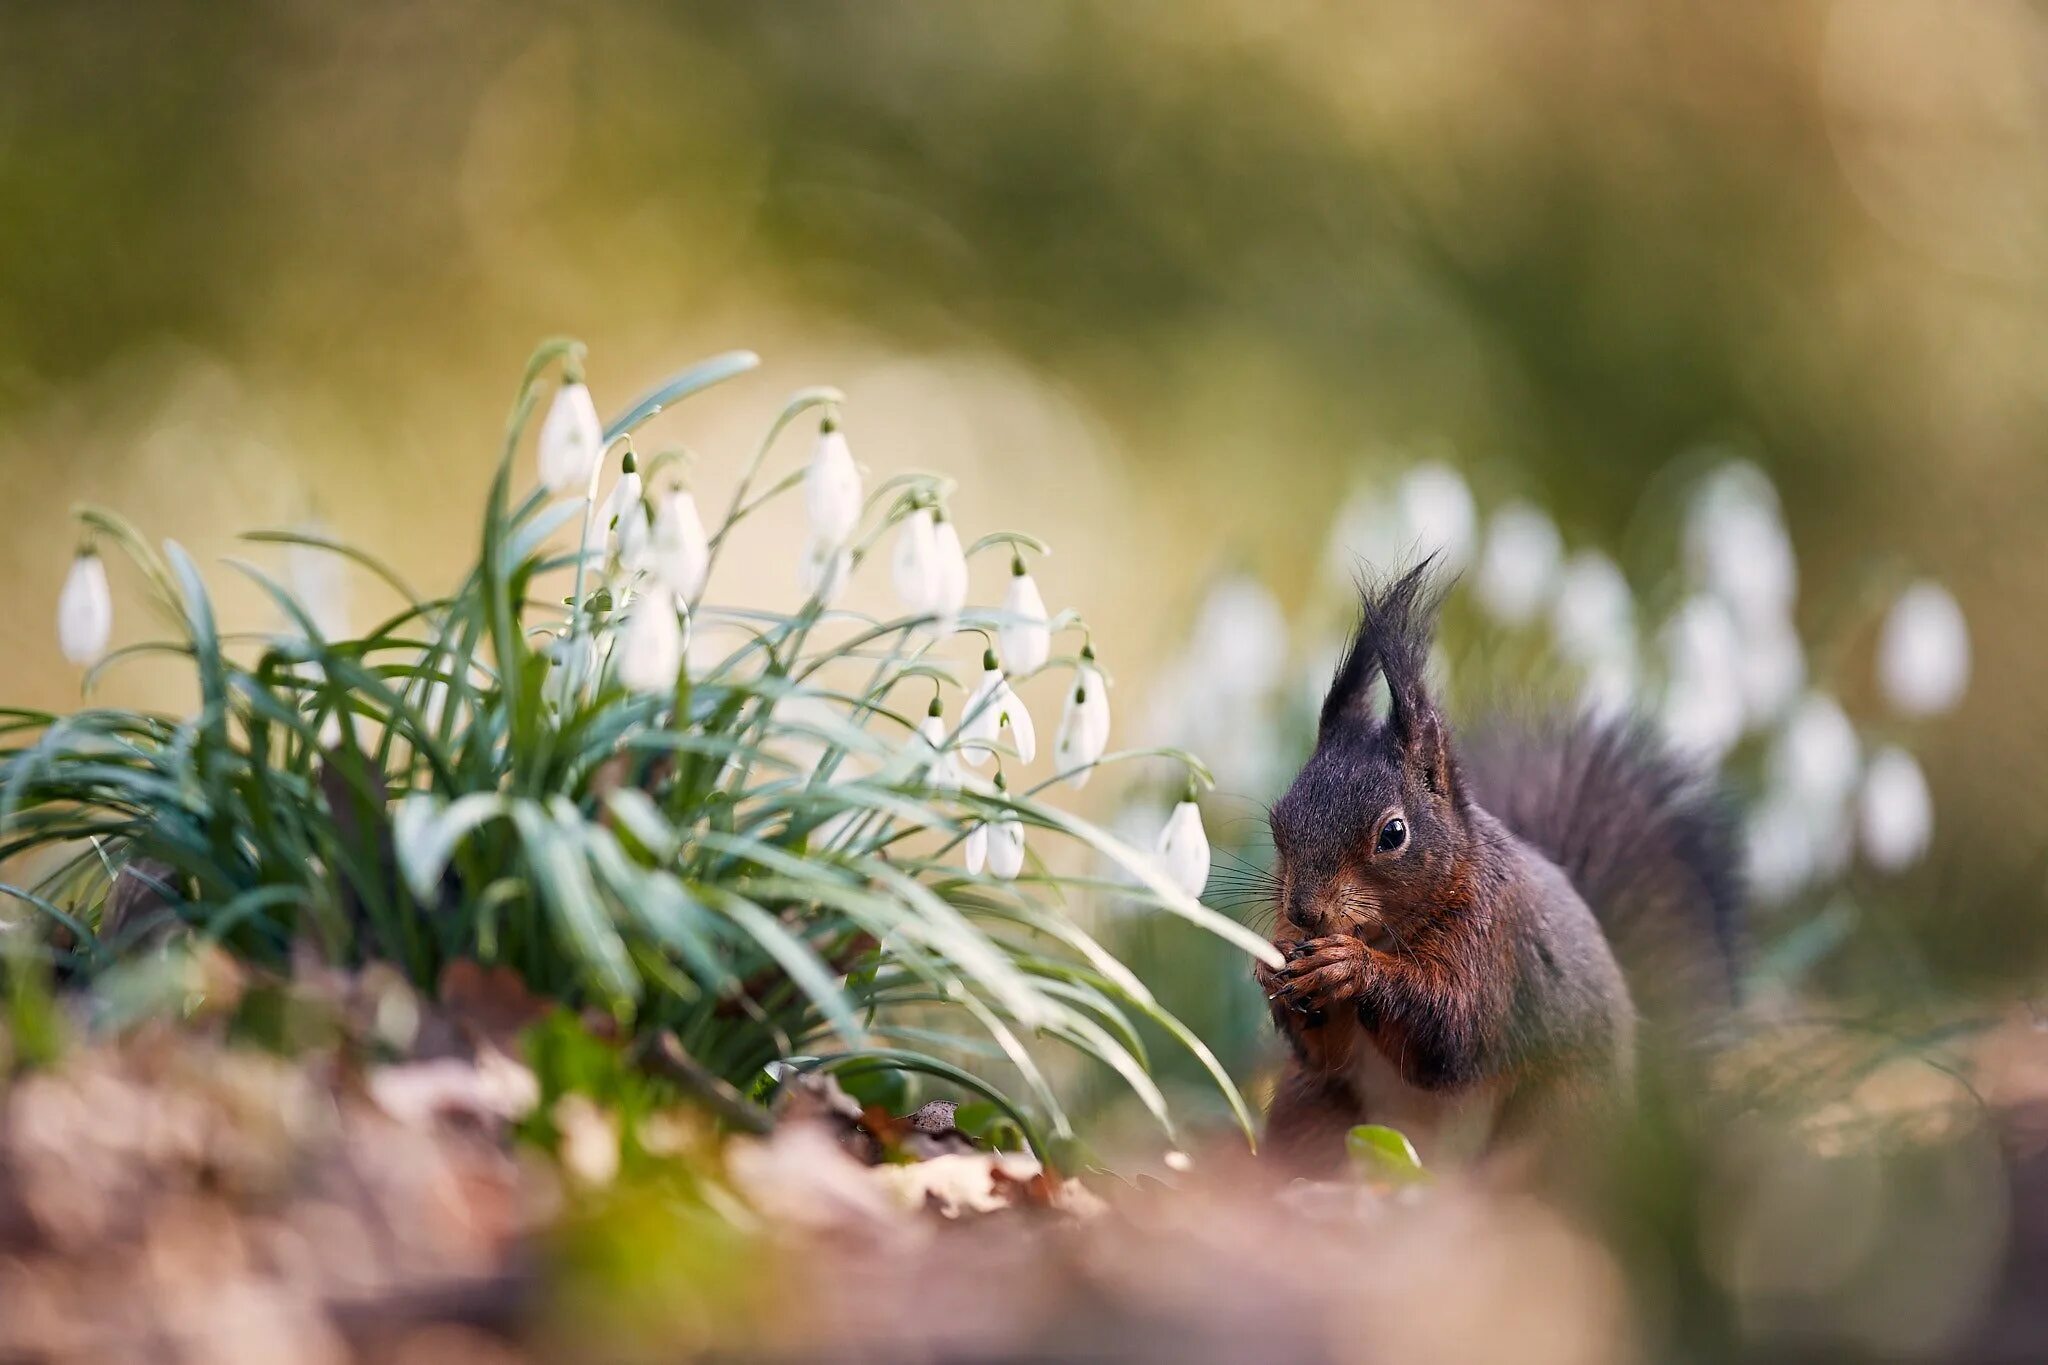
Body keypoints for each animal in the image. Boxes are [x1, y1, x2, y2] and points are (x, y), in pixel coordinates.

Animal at [1253, 560, 1736, 1170]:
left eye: (1393, 833)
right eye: (1278, 820)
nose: (1303, 913)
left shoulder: (1491, 938)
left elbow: (1451, 1032)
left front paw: (1351, 968)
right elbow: (1330, 1055)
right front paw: (1269, 966)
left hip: (1557, 1116)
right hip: (1313, 1108)